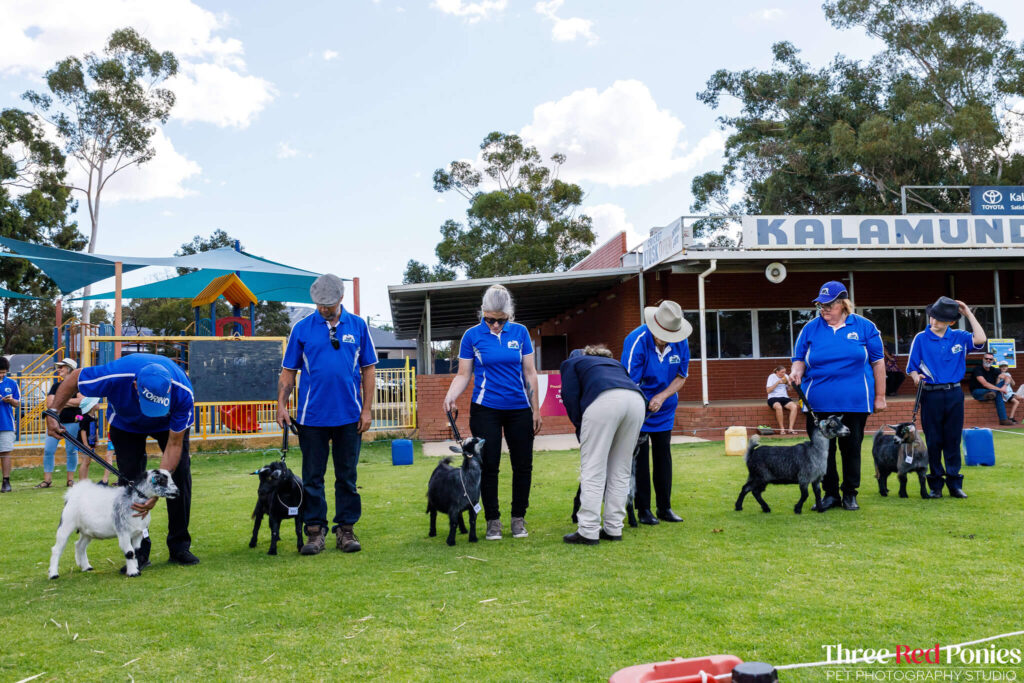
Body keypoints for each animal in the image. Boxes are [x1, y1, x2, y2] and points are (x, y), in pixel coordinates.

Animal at [48, 471, 179, 577]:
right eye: (161, 480)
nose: (177, 491)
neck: (132, 501)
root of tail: (72, 494)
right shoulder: (123, 533)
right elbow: (130, 552)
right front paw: (133, 573)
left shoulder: (138, 533)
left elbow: (136, 552)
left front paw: (136, 569)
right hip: (66, 524)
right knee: (57, 549)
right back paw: (53, 574)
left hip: (87, 531)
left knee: (79, 545)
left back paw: (86, 567)